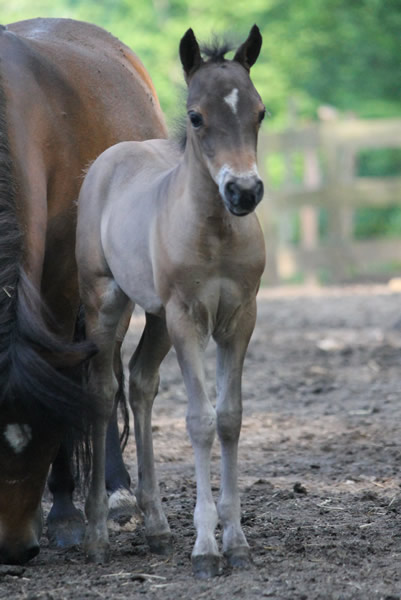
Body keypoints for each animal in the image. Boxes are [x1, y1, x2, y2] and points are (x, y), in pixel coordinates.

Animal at [0, 16, 166, 564]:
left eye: (47, 428)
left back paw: (111, 493)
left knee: (103, 369)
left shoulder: (61, 282)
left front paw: (67, 513)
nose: (13, 548)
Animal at [77, 24, 266, 576]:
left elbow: (229, 418)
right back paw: (97, 532)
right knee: (102, 393)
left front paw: (237, 541)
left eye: (260, 112)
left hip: (157, 318)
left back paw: (158, 528)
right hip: (107, 302)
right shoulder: (188, 319)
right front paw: (205, 548)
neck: (216, 232)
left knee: (141, 385)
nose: (244, 192)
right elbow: (199, 422)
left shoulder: (239, 318)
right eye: (197, 116)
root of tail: (111, 156)